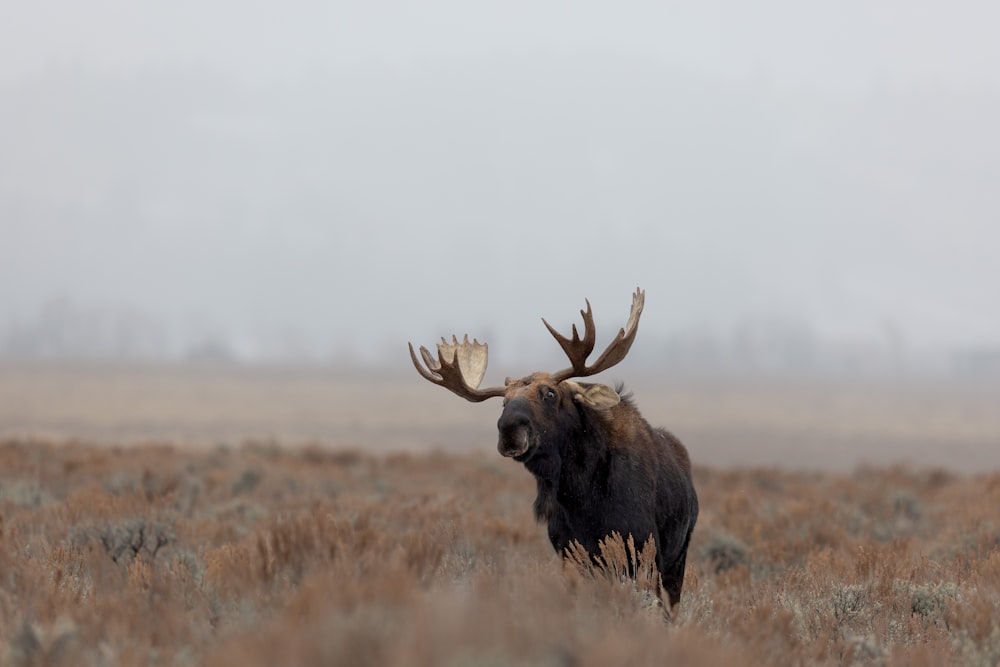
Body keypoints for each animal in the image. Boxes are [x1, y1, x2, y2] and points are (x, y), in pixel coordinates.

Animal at [410, 288, 700, 612]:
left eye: (549, 393)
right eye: (503, 402)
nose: (509, 429)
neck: (580, 492)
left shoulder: (641, 550)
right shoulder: (570, 553)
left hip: (677, 558)